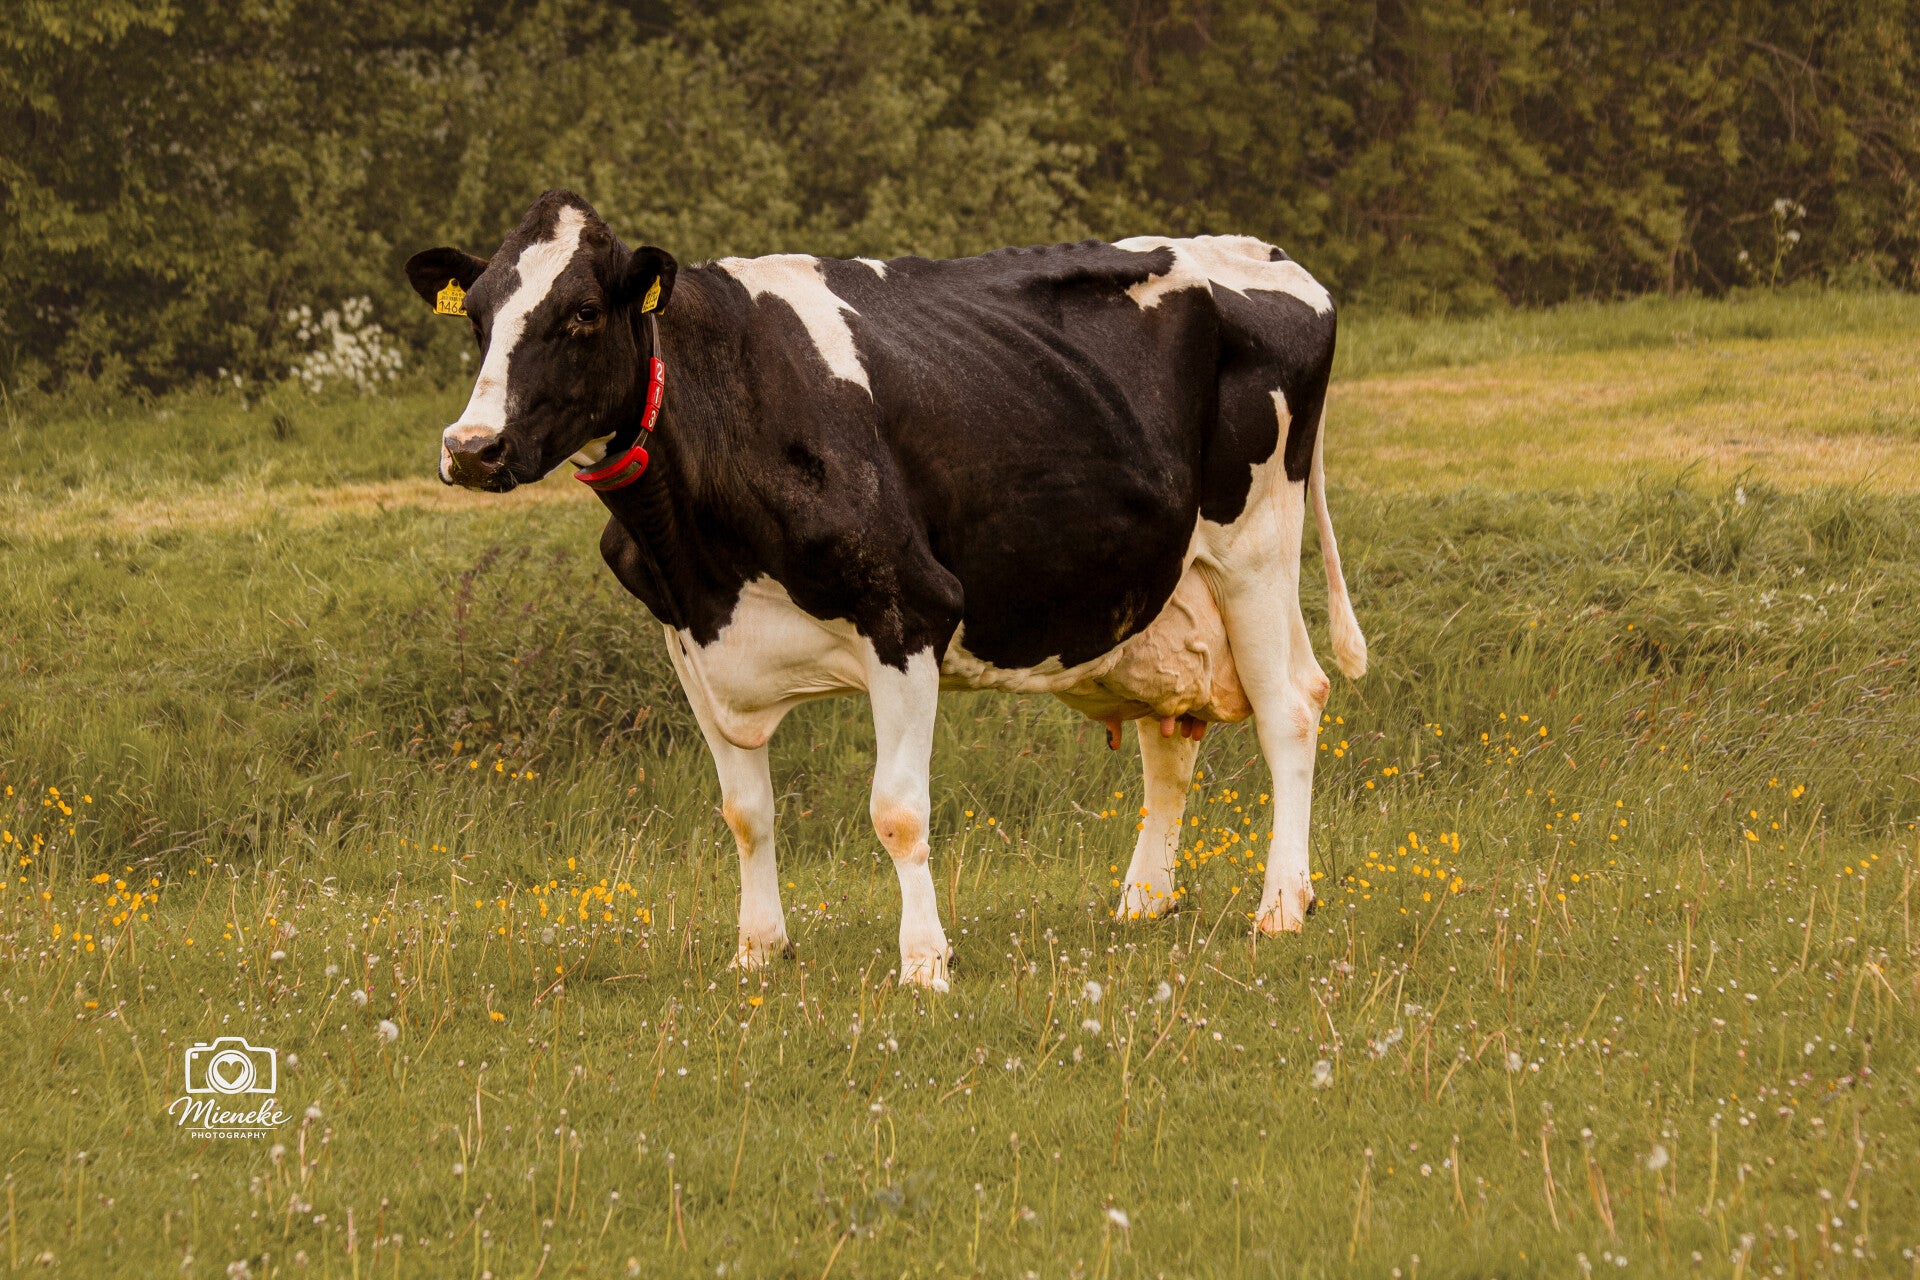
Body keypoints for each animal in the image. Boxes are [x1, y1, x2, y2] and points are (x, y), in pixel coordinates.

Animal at [405, 190, 1366, 991]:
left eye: (582, 312)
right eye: (478, 316)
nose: (471, 447)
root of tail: (1267, 253)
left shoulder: (909, 609)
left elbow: (897, 810)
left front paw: (924, 964)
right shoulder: (688, 636)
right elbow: (745, 812)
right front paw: (757, 950)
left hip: (1254, 544)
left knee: (1292, 704)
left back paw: (1281, 904)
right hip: (1163, 591)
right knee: (1173, 736)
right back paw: (1143, 899)